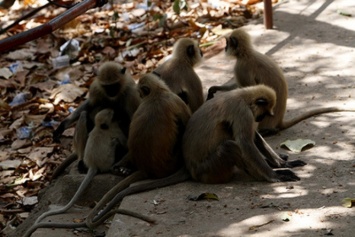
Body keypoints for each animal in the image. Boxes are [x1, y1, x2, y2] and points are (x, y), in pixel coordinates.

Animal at [25, 108, 128, 236]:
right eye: (111, 114)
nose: (113, 110)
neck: (100, 127)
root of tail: (93, 165)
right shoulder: (116, 130)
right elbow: (122, 141)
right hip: (108, 161)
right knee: (115, 144)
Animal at [207, 27, 355, 135]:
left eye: (227, 44)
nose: (224, 48)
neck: (246, 53)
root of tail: (279, 121)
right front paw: (215, 88)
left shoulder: (241, 67)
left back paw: (269, 130)